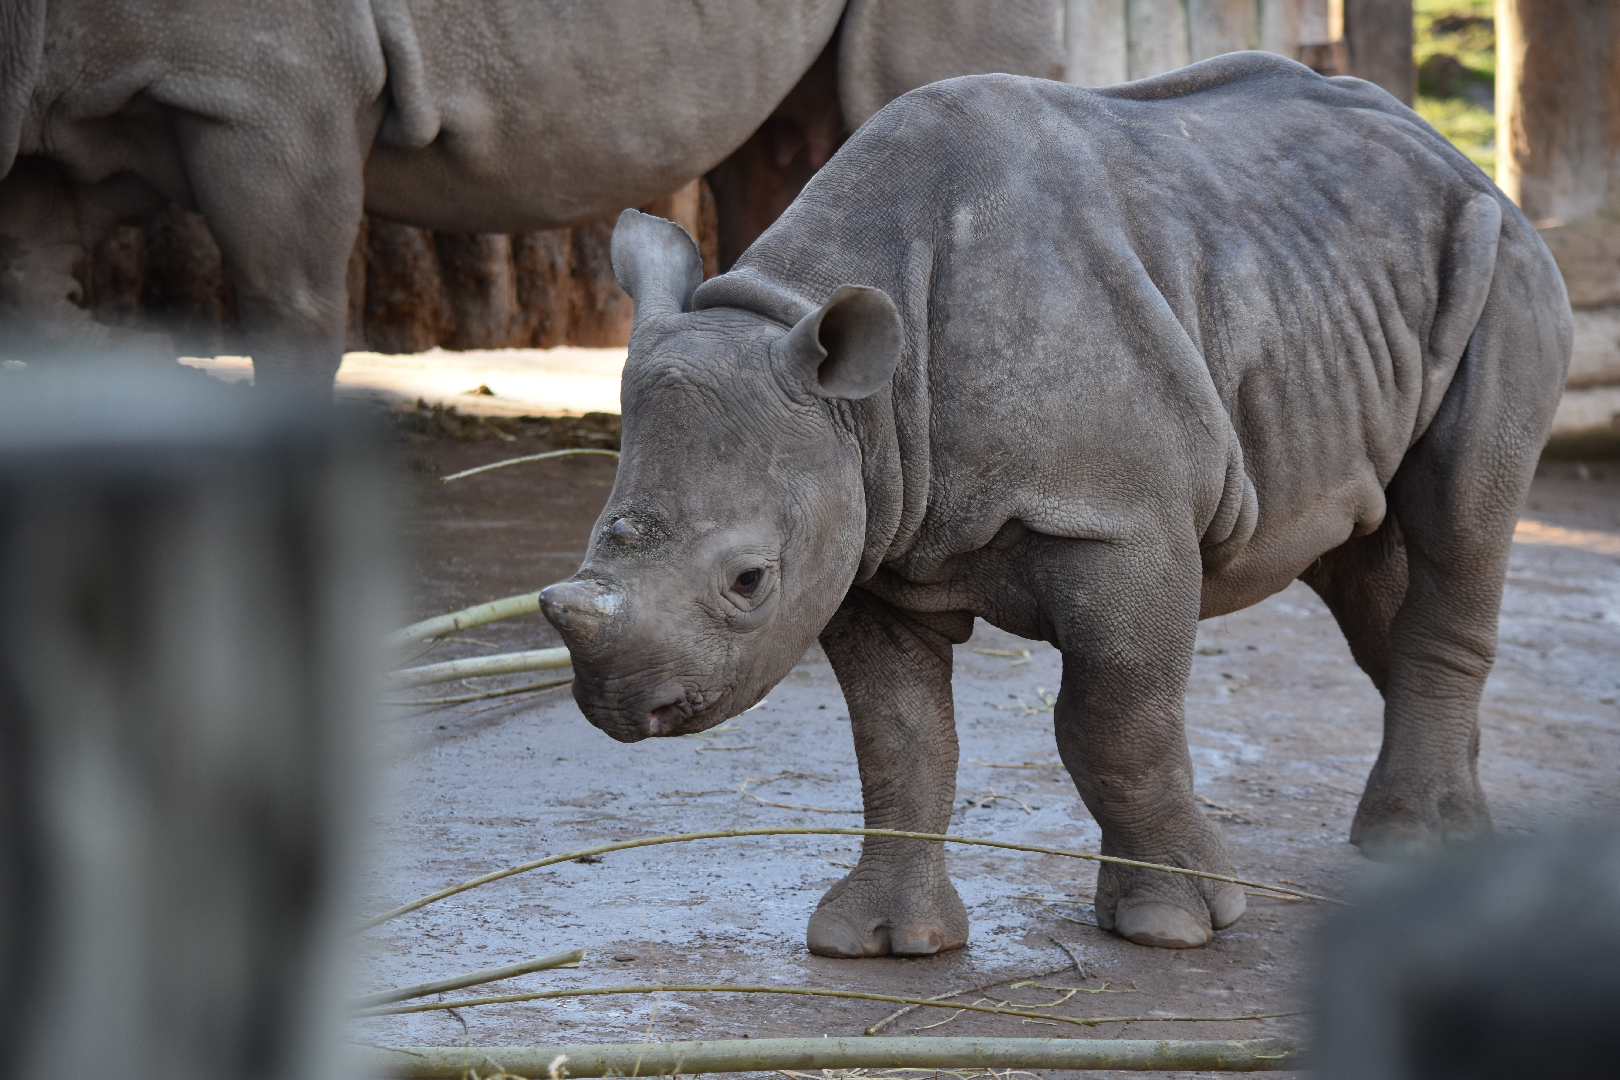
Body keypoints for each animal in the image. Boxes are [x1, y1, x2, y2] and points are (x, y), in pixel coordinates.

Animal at [540, 53, 1572, 954]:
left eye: (750, 581)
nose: (619, 705)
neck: (859, 399)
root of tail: (1451, 153)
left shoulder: (1117, 522)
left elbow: (1113, 719)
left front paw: (1175, 925)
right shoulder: (866, 536)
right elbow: (898, 737)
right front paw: (879, 943)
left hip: (1501, 261)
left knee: (1461, 518)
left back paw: (1418, 841)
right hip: (1323, 295)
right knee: (1364, 555)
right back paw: (1450, 832)